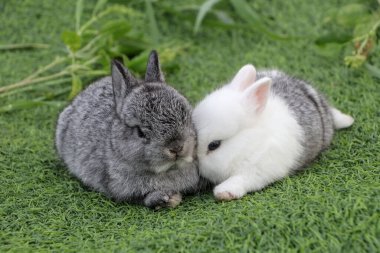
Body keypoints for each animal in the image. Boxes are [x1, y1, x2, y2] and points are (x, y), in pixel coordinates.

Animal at [193, 65, 354, 202]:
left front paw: (224, 192)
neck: (249, 143)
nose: (195, 164)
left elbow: (241, 179)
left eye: (214, 145)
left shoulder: (259, 169)